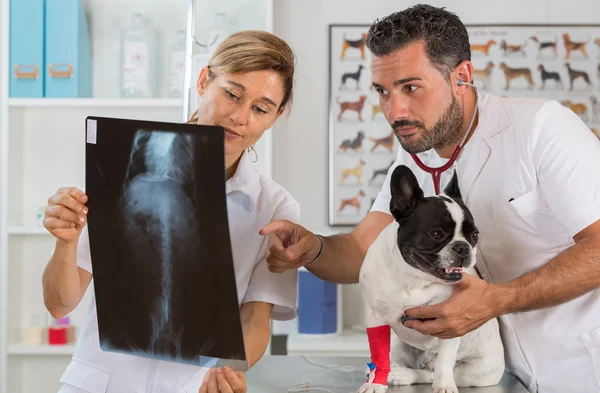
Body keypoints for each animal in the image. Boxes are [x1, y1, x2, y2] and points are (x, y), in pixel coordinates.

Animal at [358, 165, 504, 392]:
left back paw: (406, 375)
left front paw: (444, 386)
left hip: (475, 372)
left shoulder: (451, 324)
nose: (463, 247)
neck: (412, 279)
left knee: (431, 372)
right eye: (436, 233)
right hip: (399, 344)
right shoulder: (375, 318)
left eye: (474, 235)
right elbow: (379, 355)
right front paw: (376, 383)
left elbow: (444, 361)